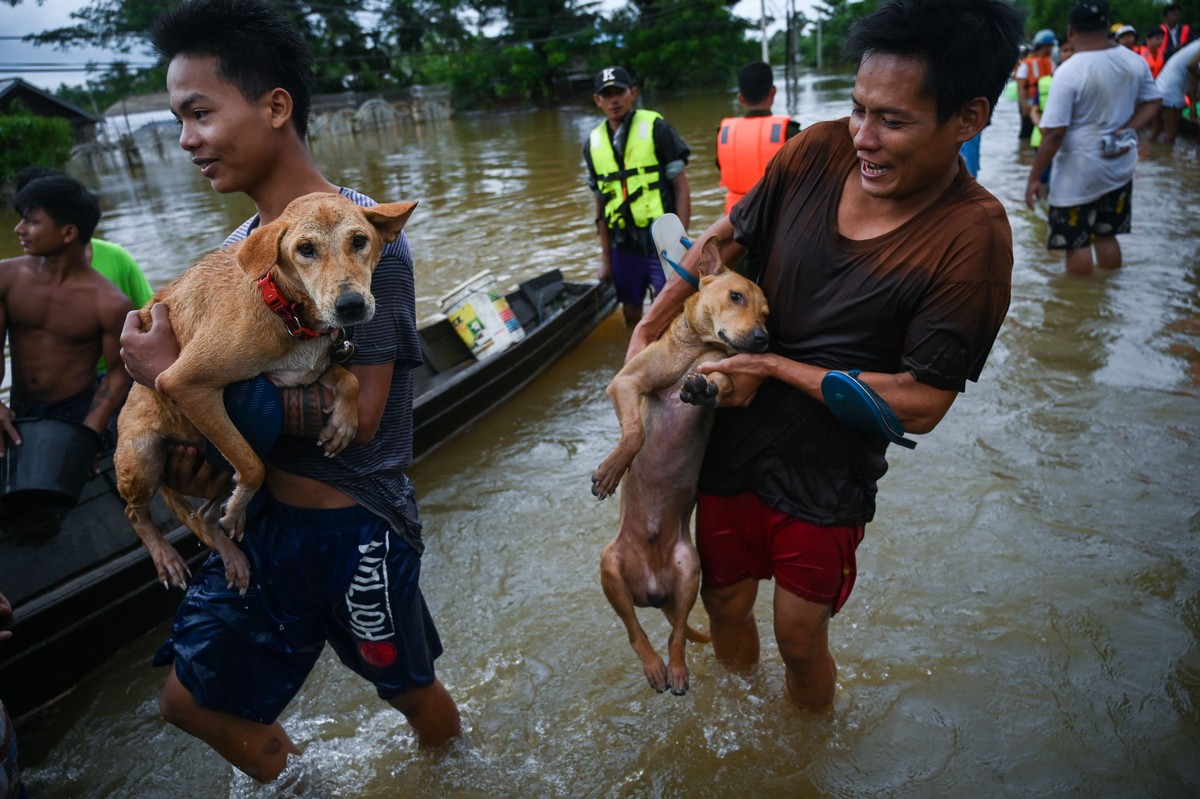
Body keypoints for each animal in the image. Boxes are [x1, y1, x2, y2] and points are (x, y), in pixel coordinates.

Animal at [115, 191, 417, 590]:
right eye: (305, 249)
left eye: (359, 241)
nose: (350, 305)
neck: (285, 309)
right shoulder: (183, 381)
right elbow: (252, 466)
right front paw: (240, 505)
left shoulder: (301, 373)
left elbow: (348, 380)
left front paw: (343, 422)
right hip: (144, 455)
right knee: (135, 512)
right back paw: (168, 556)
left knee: (205, 514)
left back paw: (230, 552)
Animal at [590, 235, 768, 691]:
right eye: (736, 296)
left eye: (767, 314)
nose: (763, 338)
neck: (704, 346)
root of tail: (654, 591)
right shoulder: (626, 382)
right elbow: (635, 433)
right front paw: (612, 471)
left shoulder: (726, 377)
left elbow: (718, 383)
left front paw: (704, 388)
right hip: (610, 567)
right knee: (635, 631)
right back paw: (653, 666)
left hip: (690, 570)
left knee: (675, 635)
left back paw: (675, 669)